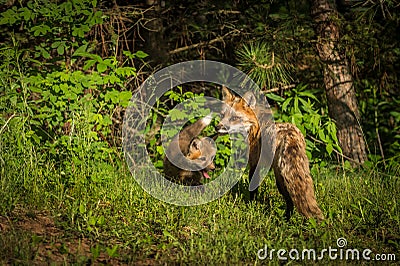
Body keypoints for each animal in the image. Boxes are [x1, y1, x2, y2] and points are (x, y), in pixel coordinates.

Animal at [217, 87, 324, 220]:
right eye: (222, 115)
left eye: (234, 118)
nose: (217, 127)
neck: (255, 126)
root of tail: (290, 136)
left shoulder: (254, 163)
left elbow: (253, 189)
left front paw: (250, 207)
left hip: (280, 179)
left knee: (290, 200)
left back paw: (286, 220)